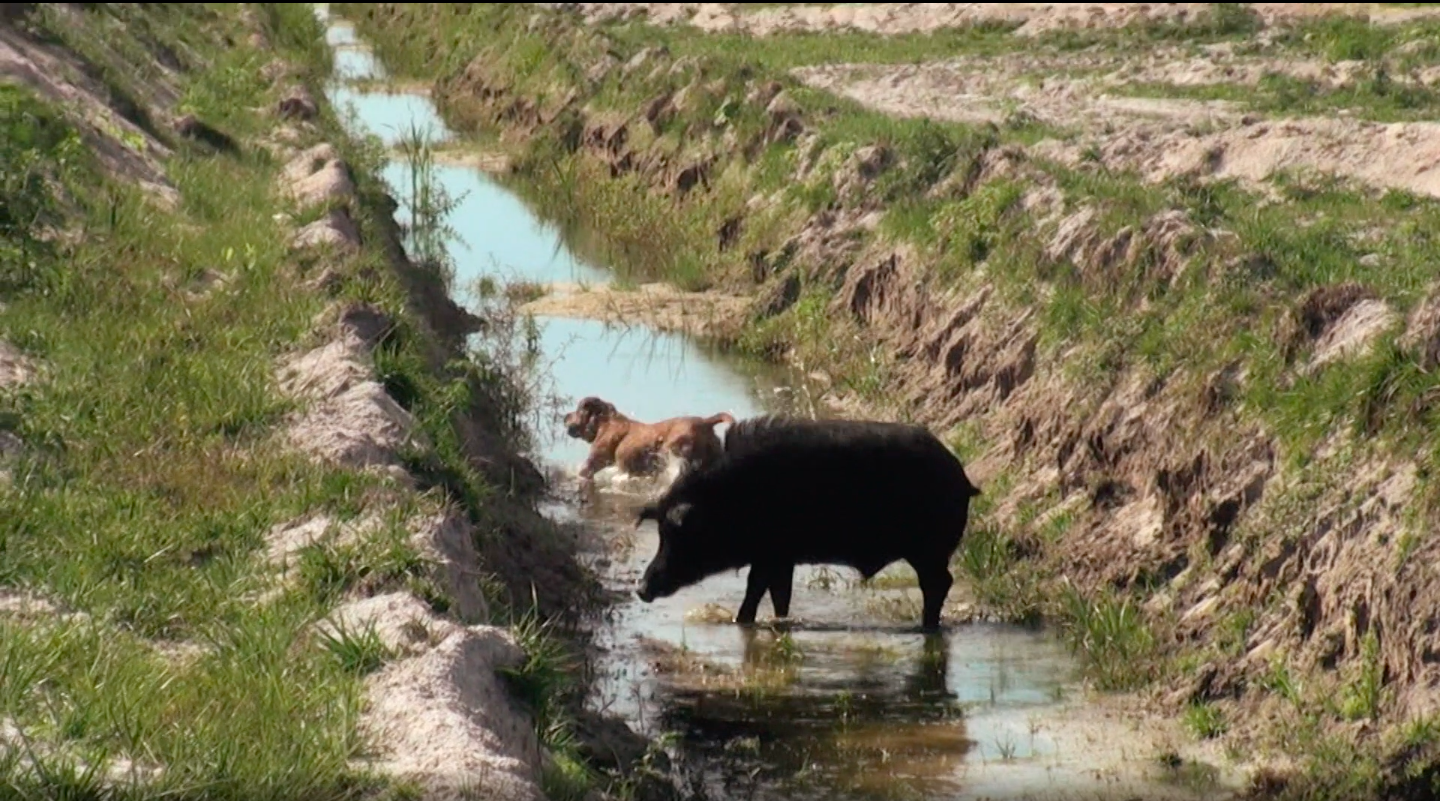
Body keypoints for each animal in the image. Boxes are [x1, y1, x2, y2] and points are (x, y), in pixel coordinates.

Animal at [633, 415, 982, 631]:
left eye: (676, 535)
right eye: (661, 533)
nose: (641, 589)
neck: (732, 497)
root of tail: (963, 480)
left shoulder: (772, 553)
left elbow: (757, 589)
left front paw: (742, 621)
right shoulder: (778, 557)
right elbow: (776, 594)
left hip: (929, 550)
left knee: (939, 584)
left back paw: (926, 626)